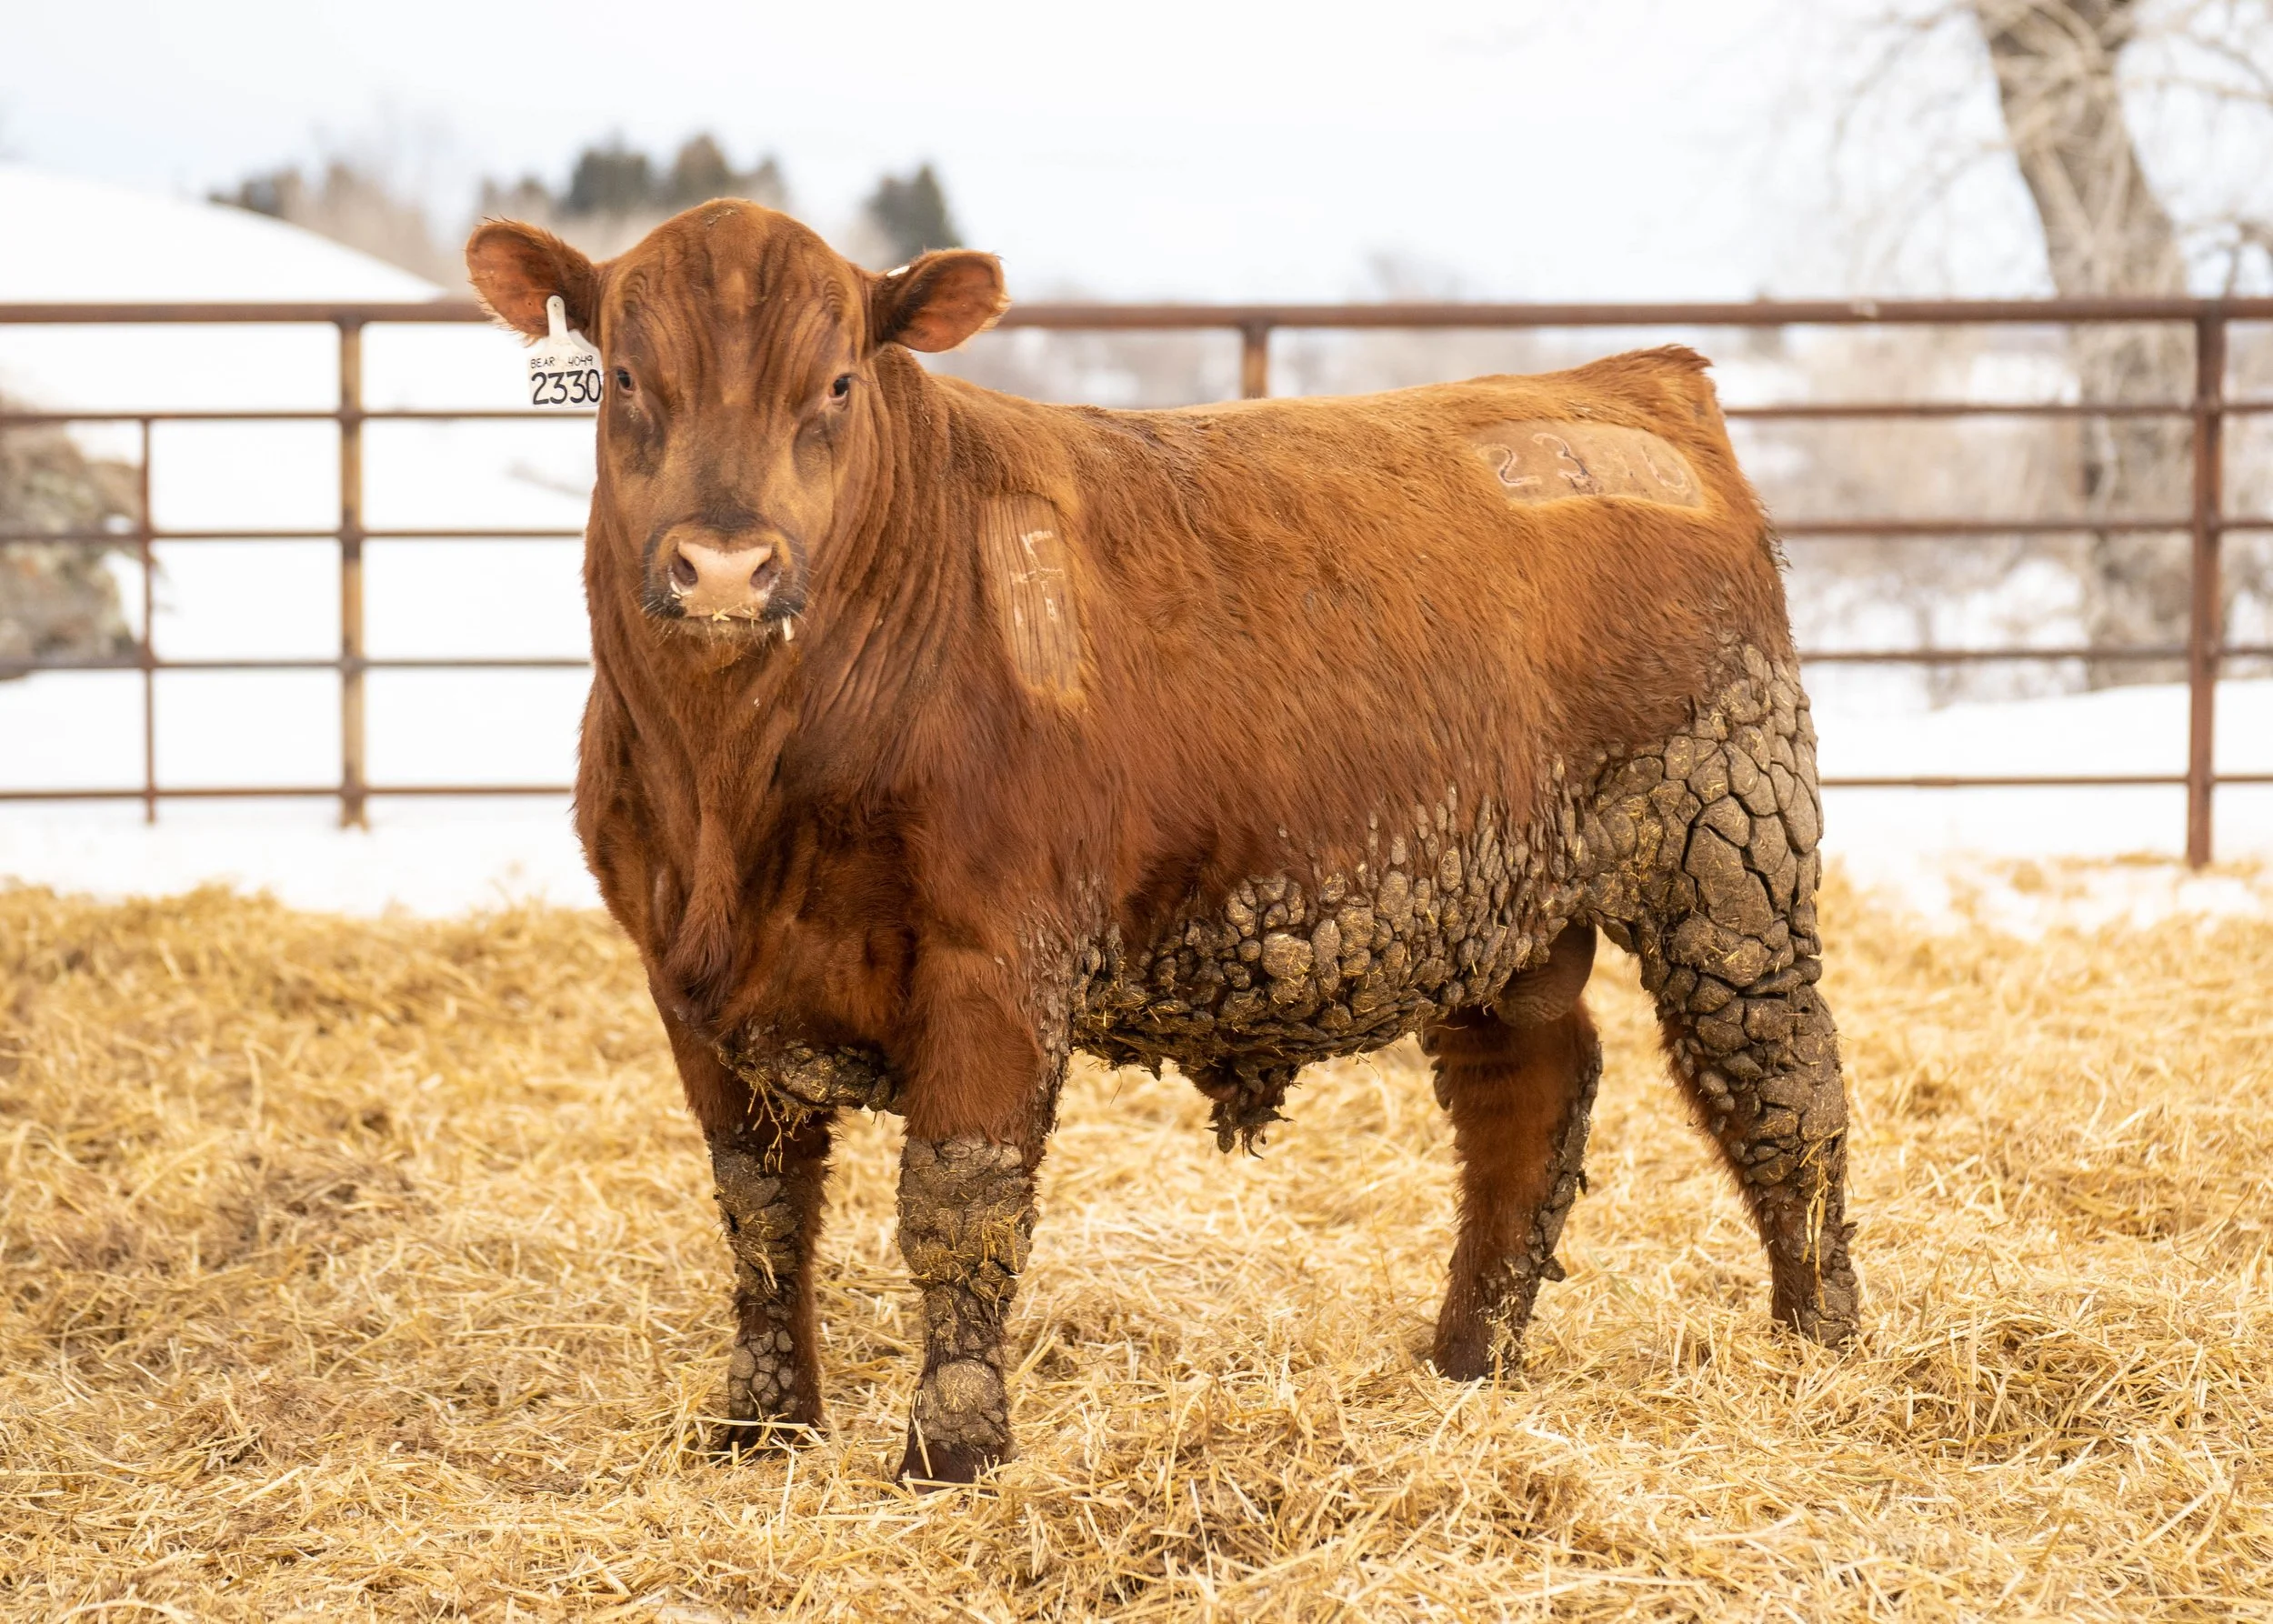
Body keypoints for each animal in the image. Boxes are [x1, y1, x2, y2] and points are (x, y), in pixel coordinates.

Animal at [466, 202, 1860, 1487]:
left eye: (840, 383)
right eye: (626, 377)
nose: (723, 567)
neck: (736, 792)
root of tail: (1626, 380)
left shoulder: (997, 958)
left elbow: (958, 1207)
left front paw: (952, 1449)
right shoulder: (685, 979)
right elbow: (758, 1210)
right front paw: (759, 1426)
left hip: (1726, 851)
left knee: (1780, 1089)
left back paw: (1820, 1346)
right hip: (1499, 904)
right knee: (1529, 1091)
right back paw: (1468, 1358)